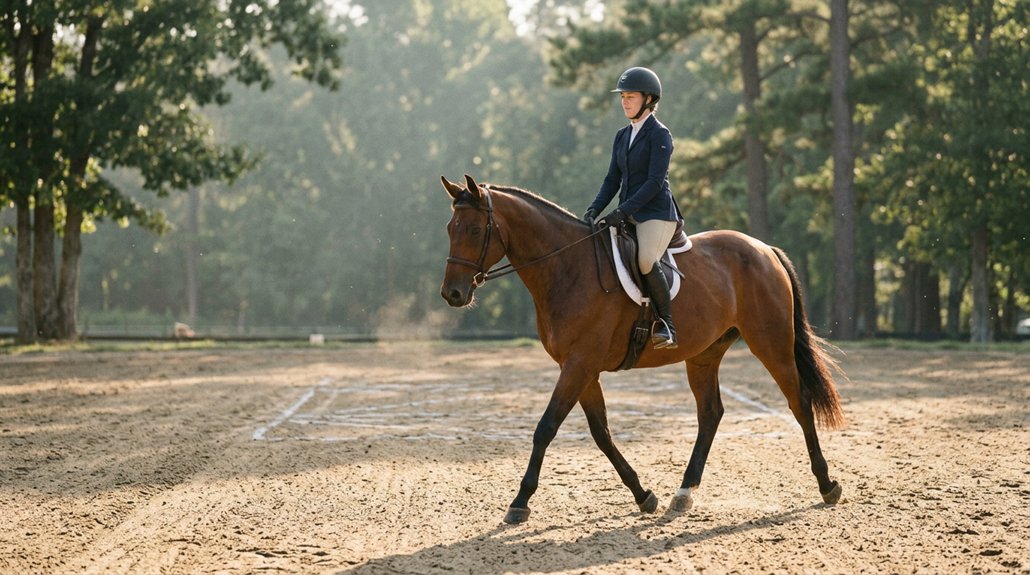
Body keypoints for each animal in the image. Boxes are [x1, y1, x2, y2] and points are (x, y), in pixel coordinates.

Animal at [439, 174, 845, 524]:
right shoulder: (581, 369)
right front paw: (643, 495)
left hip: (770, 343)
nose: (452, 294)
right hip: (704, 354)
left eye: (474, 229)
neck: (567, 267)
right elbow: (601, 432)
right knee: (710, 413)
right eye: (449, 229)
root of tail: (764, 249)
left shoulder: (579, 365)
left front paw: (520, 502)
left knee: (799, 401)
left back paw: (827, 485)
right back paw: (683, 493)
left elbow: (546, 427)